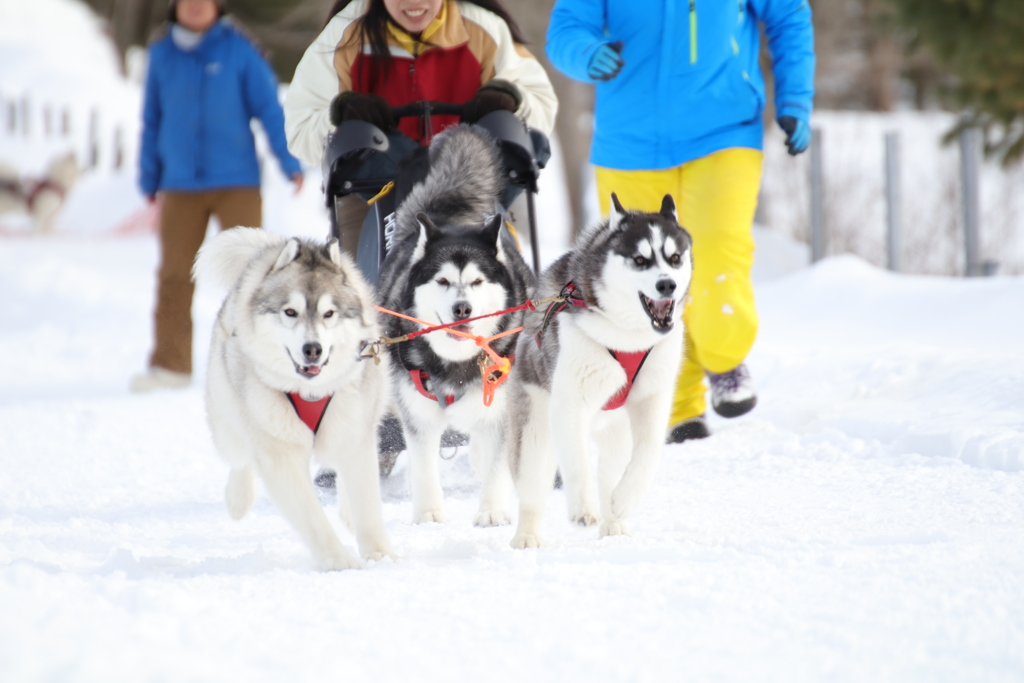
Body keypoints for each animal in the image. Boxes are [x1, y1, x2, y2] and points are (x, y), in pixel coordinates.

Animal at [193, 229, 393, 573]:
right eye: (290, 312)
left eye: (329, 313)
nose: (312, 349)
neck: (309, 391)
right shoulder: (279, 452)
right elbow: (311, 516)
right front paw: (338, 561)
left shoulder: (354, 431)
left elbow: (366, 501)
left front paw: (379, 555)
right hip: (228, 422)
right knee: (239, 456)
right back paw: (238, 498)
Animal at [378, 125, 536, 528]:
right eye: (443, 281)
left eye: (477, 281)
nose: (462, 308)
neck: (456, 363)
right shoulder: (417, 414)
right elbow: (423, 465)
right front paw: (429, 514)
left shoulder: (501, 411)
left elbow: (497, 462)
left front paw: (492, 511)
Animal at [507, 194, 692, 548]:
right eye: (640, 259)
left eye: (675, 257)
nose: (668, 284)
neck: (627, 335)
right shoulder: (569, 403)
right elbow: (577, 463)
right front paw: (582, 509)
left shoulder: (653, 398)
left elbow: (648, 452)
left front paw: (625, 499)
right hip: (537, 431)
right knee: (533, 487)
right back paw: (526, 536)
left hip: (614, 430)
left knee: (610, 473)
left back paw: (613, 520)